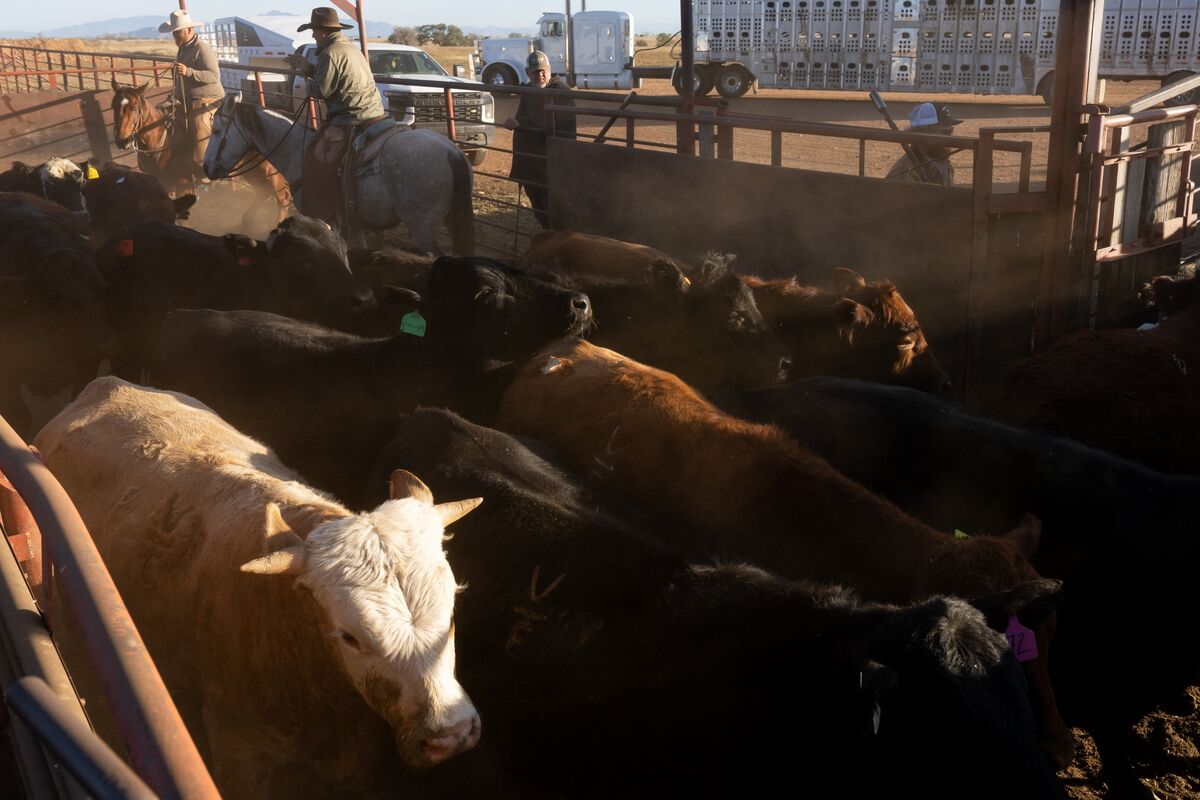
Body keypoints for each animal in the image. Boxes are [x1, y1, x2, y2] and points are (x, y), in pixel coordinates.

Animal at [0, 194, 108, 436]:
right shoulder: (9, 370)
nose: (102, 344)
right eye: (58, 300)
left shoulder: (87, 367)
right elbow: (21, 417)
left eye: (101, 293)